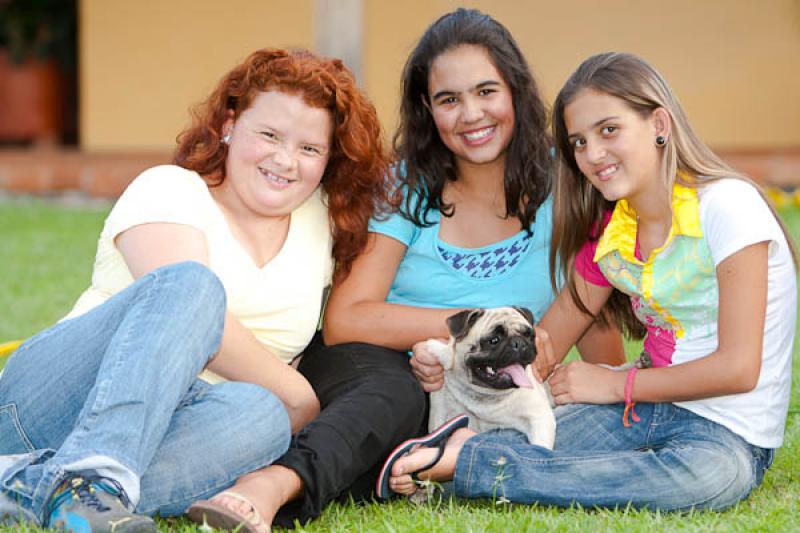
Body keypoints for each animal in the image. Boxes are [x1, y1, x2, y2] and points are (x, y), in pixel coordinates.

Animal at [428, 308, 552, 448]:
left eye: (529, 336)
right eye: (494, 340)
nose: (519, 342)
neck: (486, 394)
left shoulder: (539, 417)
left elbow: (540, 446)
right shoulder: (441, 415)